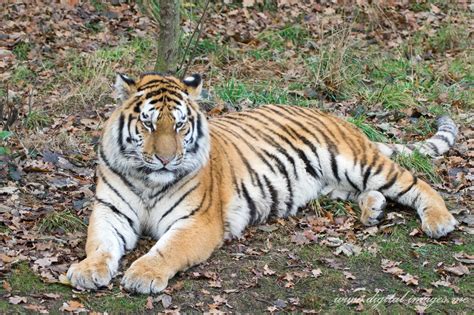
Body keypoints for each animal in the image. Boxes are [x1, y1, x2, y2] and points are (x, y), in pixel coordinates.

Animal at [66, 71, 460, 294]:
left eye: (179, 125)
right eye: (148, 124)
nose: (165, 158)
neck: (149, 179)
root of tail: (336, 117)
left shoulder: (197, 222)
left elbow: (167, 249)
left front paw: (143, 274)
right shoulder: (110, 211)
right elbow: (99, 244)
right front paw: (87, 271)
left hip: (359, 162)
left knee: (416, 183)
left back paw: (440, 221)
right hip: (334, 182)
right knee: (364, 193)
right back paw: (373, 210)